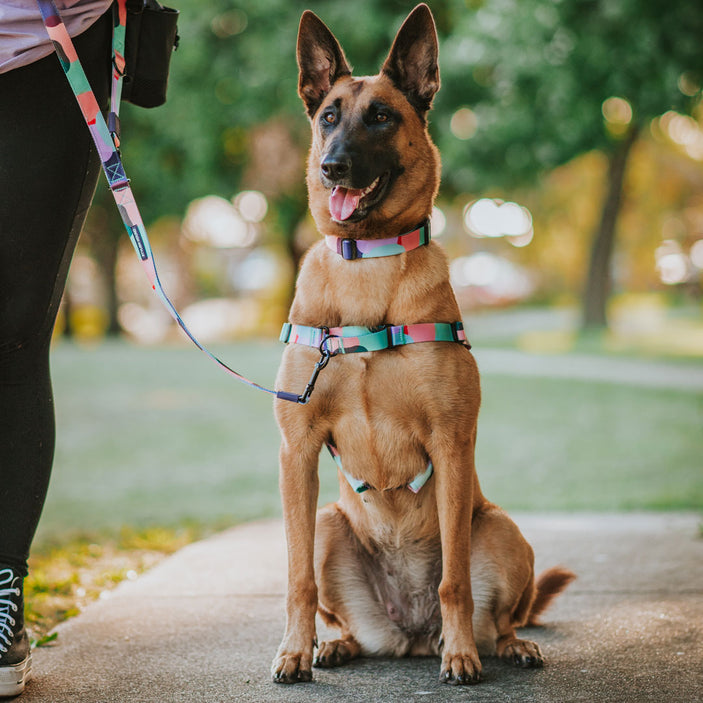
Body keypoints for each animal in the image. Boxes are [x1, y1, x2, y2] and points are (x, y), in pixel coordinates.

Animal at [270, 4, 572, 688]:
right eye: (328, 117)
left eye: (382, 116)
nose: (332, 166)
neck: (368, 265)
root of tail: (408, 634)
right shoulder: (297, 450)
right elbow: (296, 580)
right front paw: (295, 650)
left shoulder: (451, 441)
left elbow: (454, 580)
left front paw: (461, 656)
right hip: (327, 525)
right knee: (346, 617)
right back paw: (336, 645)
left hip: (502, 529)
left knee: (500, 613)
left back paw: (499, 645)